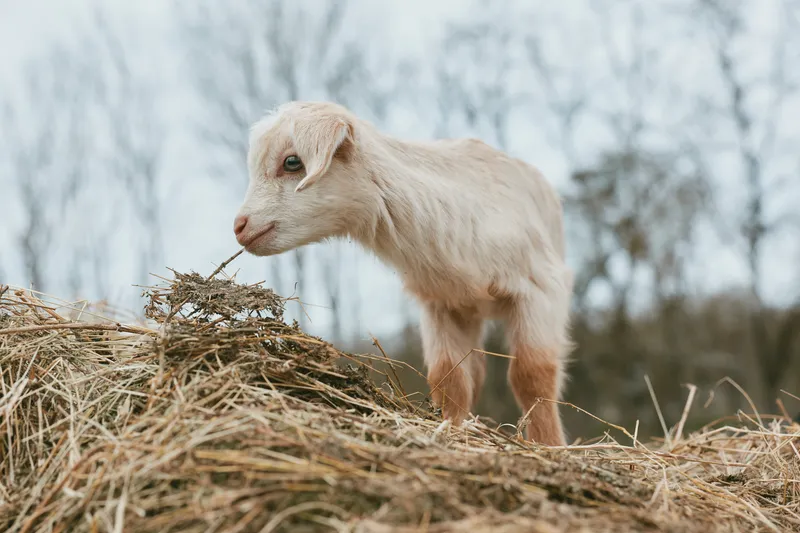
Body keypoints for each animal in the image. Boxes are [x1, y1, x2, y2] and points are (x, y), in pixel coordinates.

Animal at [233, 101, 574, 446]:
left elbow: (532, 376)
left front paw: (549, 445)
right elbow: (449, 379)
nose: (240, 227)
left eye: (292, 162)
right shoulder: (439, 303)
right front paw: (450, 430)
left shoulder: (540, 290)